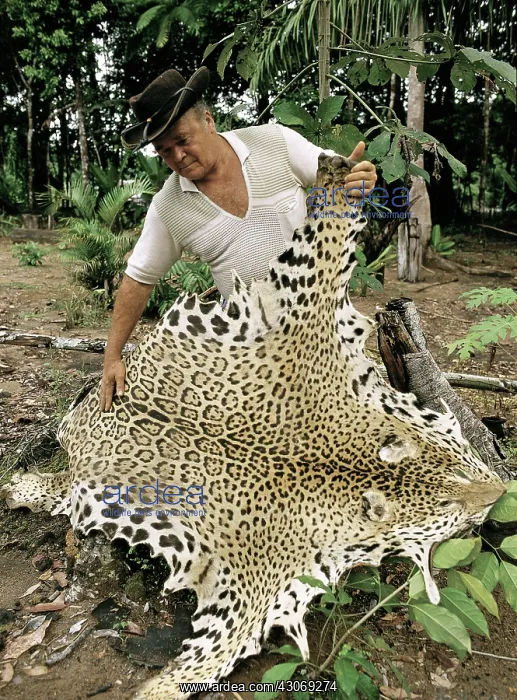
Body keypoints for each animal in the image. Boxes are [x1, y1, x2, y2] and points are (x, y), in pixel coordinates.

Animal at [2, 154, 505, 700]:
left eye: (453, 445)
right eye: (447, 510)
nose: (497, 490)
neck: (336, 469)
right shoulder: (251, 587)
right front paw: (163, 686)